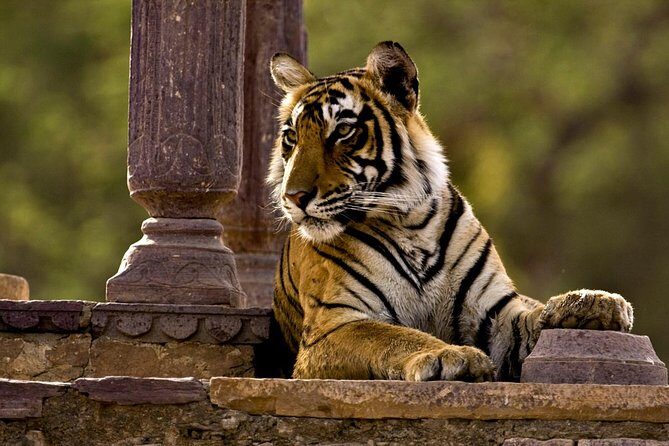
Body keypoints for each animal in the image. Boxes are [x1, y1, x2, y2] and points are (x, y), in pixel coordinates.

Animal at [266, 41, 634, 381]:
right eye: (292, 137)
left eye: (343, 130)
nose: (293, 196)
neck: (408, 222)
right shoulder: (334, 325)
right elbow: (394, 337)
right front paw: (452, 356)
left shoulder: (494, 314)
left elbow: (528, 321)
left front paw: (595, 303)